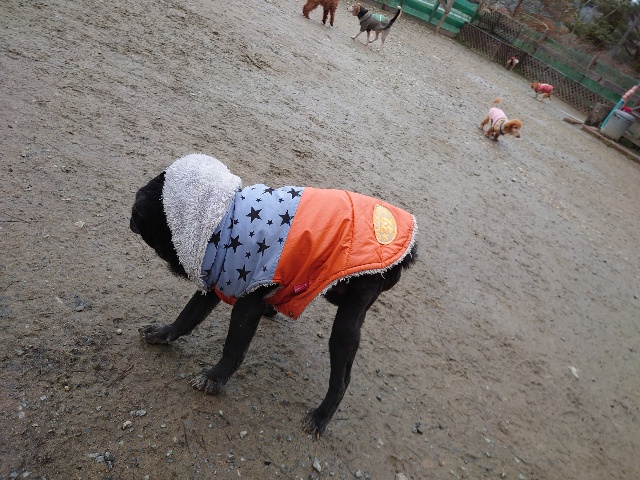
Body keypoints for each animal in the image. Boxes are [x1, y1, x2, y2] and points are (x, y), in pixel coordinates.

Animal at [130, 154, 418, 437]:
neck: (225, 223)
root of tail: (410, 247)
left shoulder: (247, 302)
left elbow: (233, 348)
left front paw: (215, 377)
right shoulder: (216, 284)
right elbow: (186, 317)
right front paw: (163, 334)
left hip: (347, 322)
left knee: (342, 378)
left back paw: (322, 416)